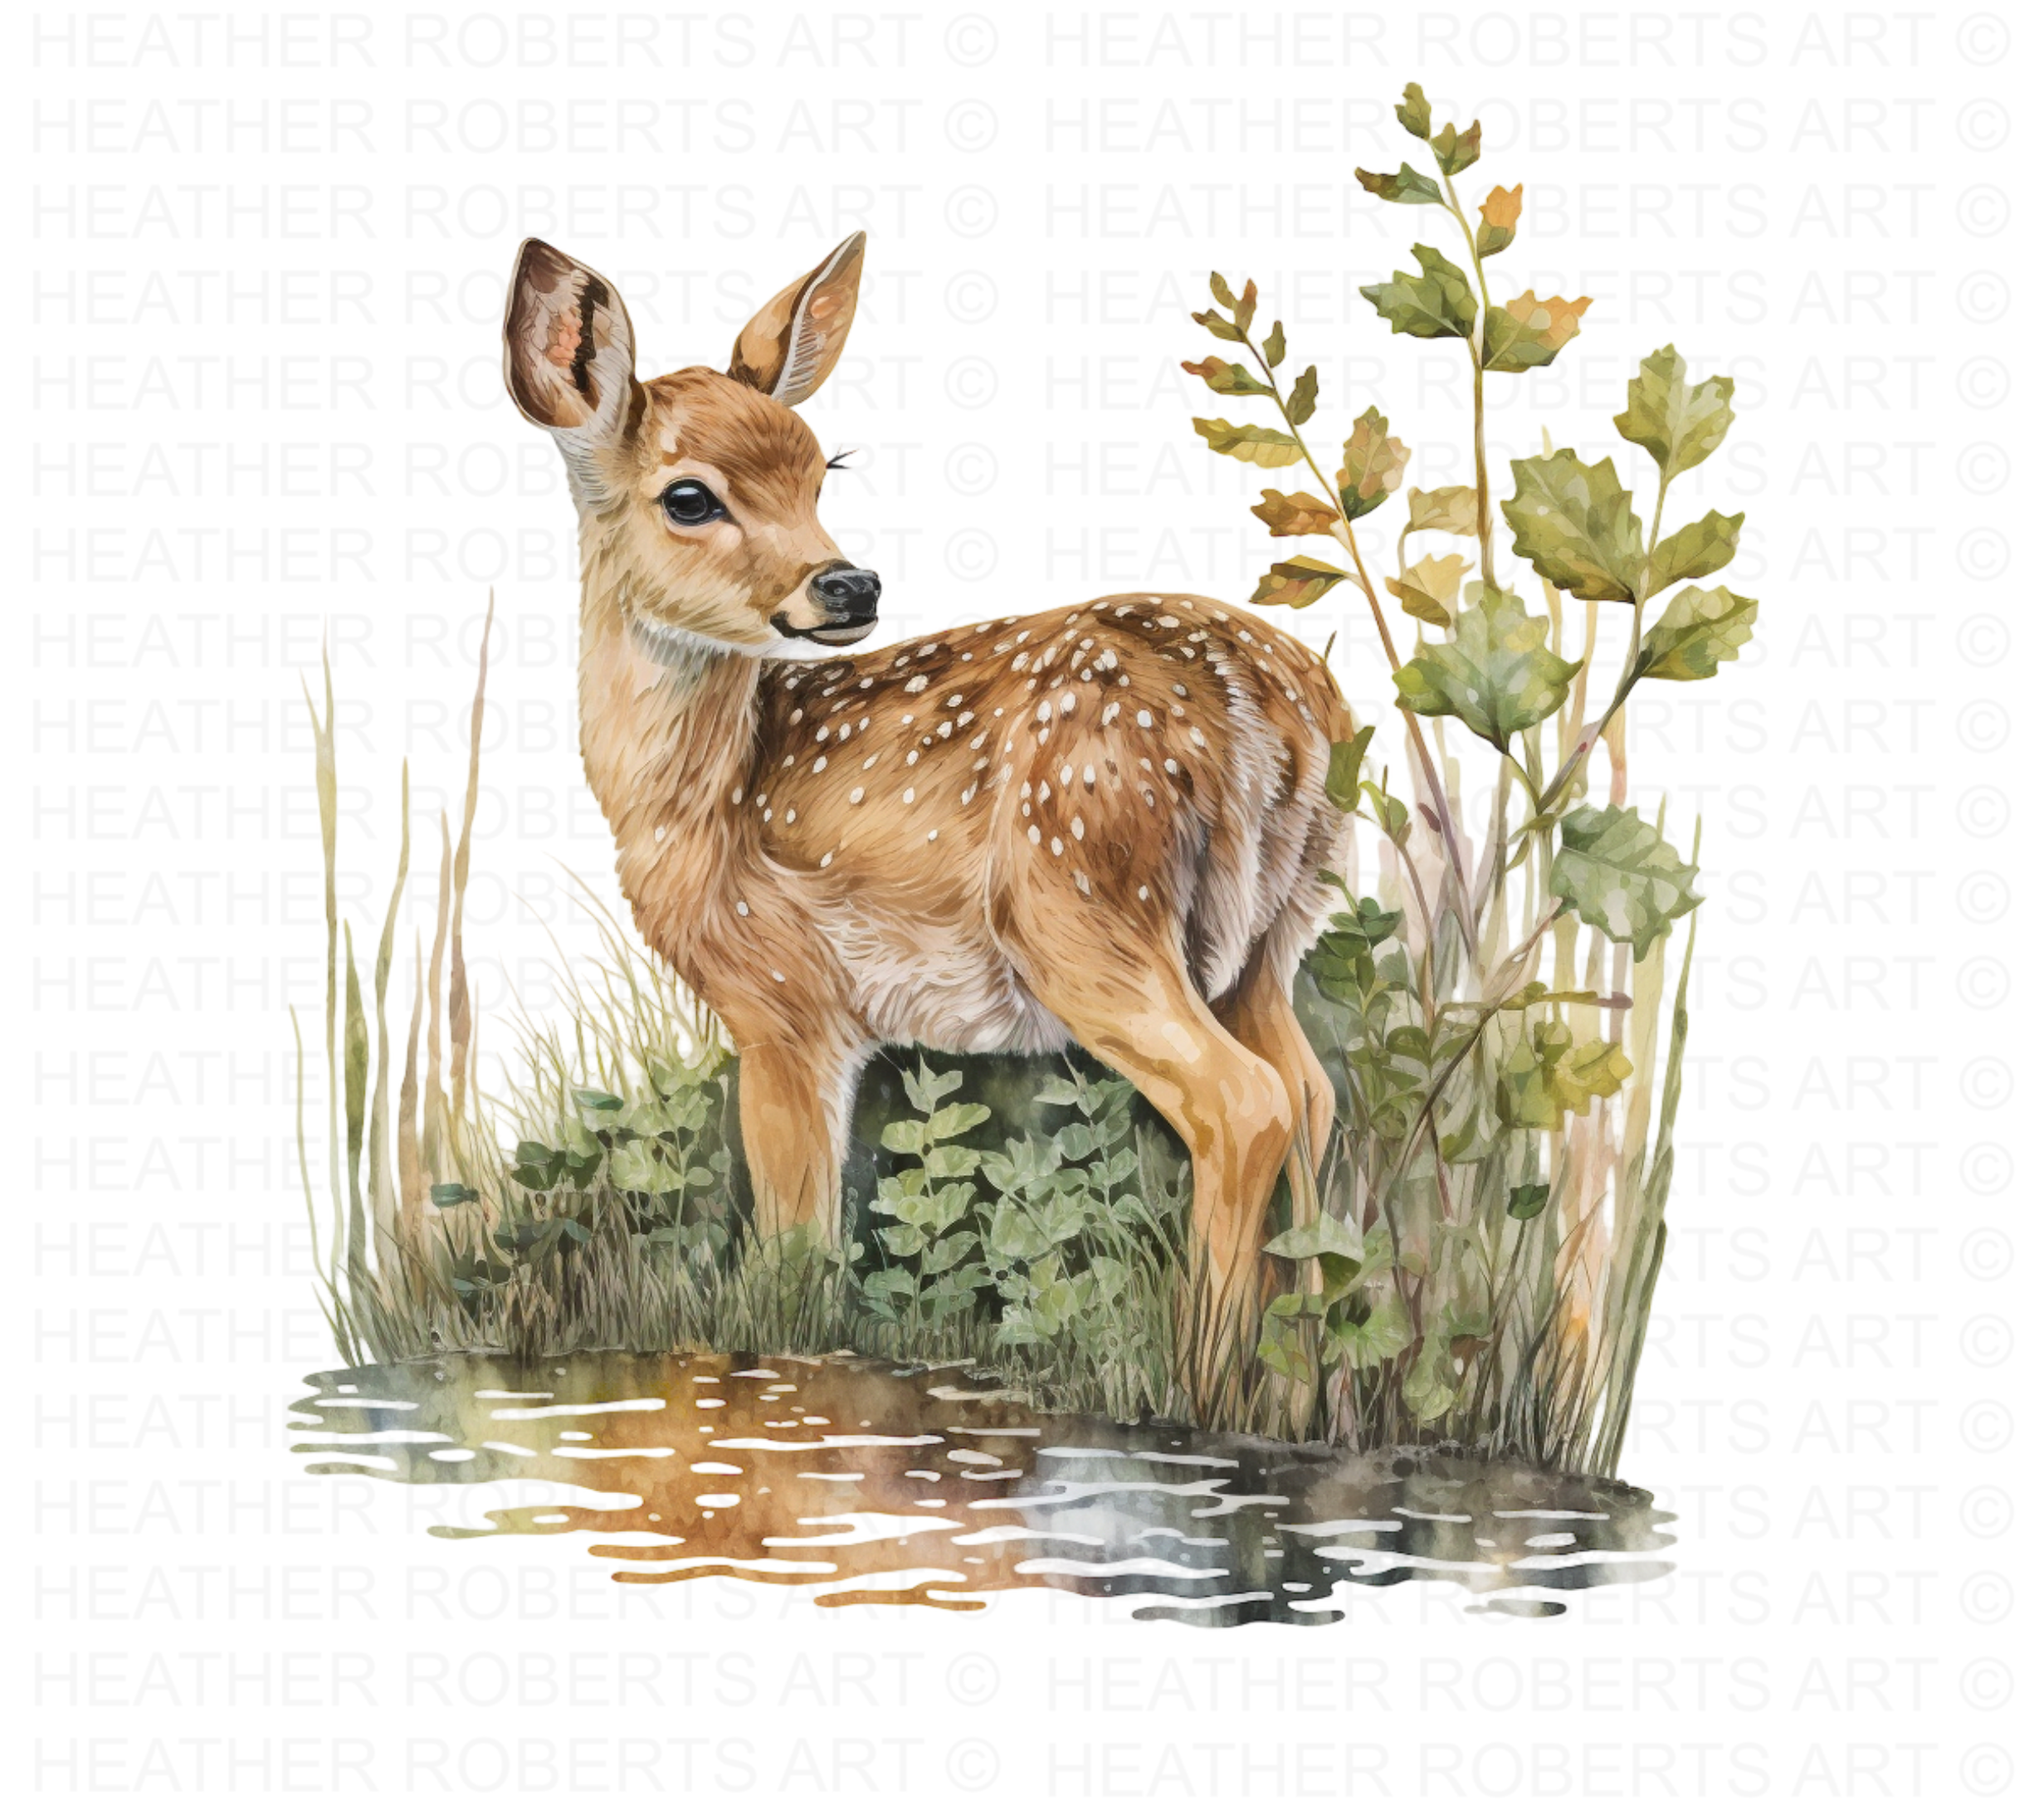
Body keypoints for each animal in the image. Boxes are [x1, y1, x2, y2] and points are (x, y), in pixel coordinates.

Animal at [501, 232, 1354, 1344]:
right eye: (689, 497)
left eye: (822, 472)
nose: (848, 585)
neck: (699, 795)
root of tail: (1278, 709)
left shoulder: (781, 1001)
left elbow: (794, 1249)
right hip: (1272, 927)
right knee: (1311, 1090)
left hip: (1082, 902)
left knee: (1244, 1101)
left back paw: (1206, 1359)